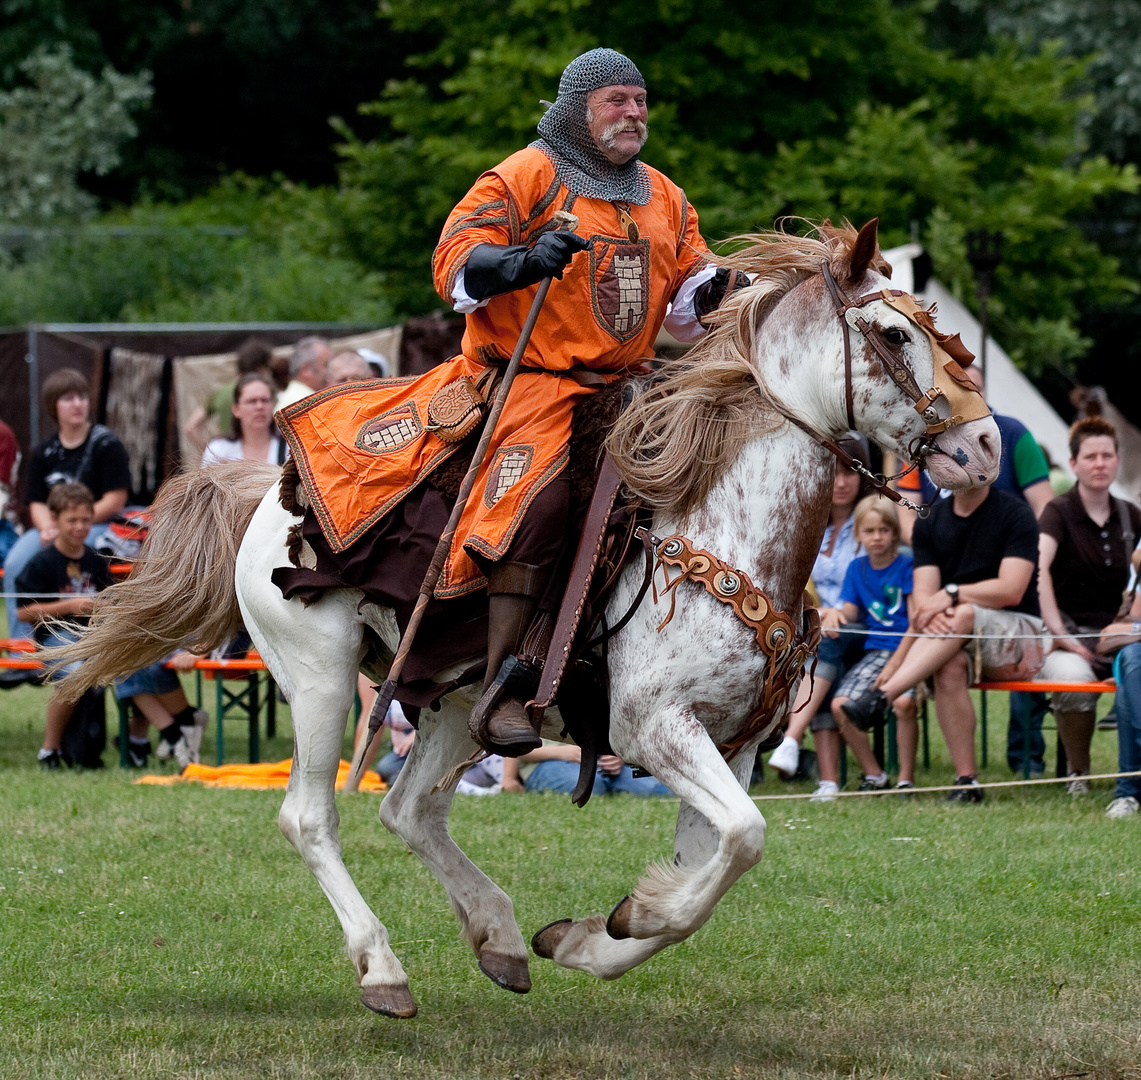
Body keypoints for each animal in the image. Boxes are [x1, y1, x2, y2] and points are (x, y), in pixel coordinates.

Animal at [53, 217, 999, 1012]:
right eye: (892, 335)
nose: (985, 446)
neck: (718, 525)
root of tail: (266, 492)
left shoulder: (729, 745)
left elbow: (719, 860)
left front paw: (590, 936)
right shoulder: (655, 726)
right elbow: (744, 838)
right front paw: (621, 921)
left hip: (456, 700)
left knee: (410, 810)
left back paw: (500, 937)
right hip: (318, 675)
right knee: (312, 816)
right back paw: (382, 968)